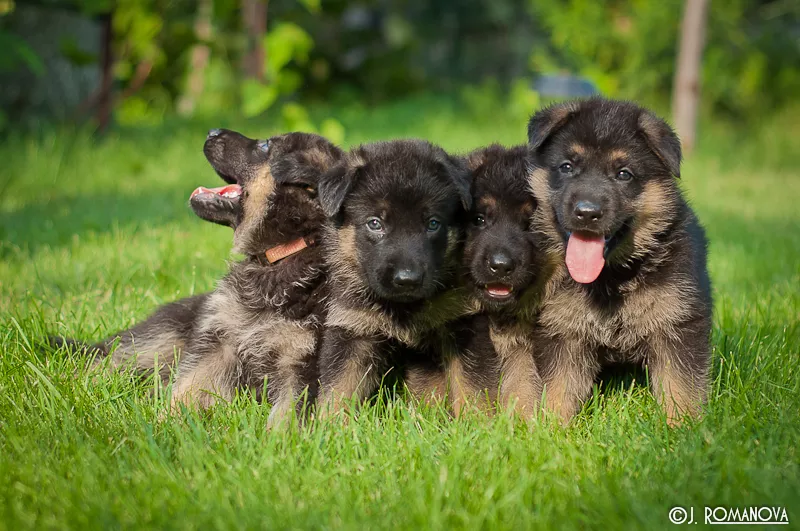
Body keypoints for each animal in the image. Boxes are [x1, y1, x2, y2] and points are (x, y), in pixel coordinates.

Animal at [314, 139, 476, 414]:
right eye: (375, 223)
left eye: (433, 223)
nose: (407, 280)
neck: (402, 309)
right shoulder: (353, 328)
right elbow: (338, 389)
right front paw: (328, 423)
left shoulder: (458, 323)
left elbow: (469, 385)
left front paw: (477, 420)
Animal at [528, 97, 708, 426]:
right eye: (567, 167)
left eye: (624, 174)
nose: (587, 212)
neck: (611, 279)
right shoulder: (562, 330)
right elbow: (559, 388)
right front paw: (551, 429)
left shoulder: (677, 323)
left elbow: (681, 385)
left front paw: (684, 429)